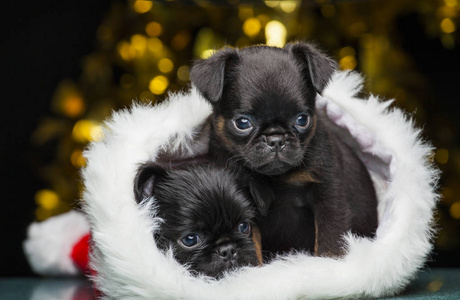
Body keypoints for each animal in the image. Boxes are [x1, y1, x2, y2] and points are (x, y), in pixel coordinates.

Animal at [190, 42, 378, 258]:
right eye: (243, 123)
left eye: (302, 119)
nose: (276, 139)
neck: (277, 179)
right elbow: (253, 243)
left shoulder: (328, 193)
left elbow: (329, 239)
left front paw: (327, 263)